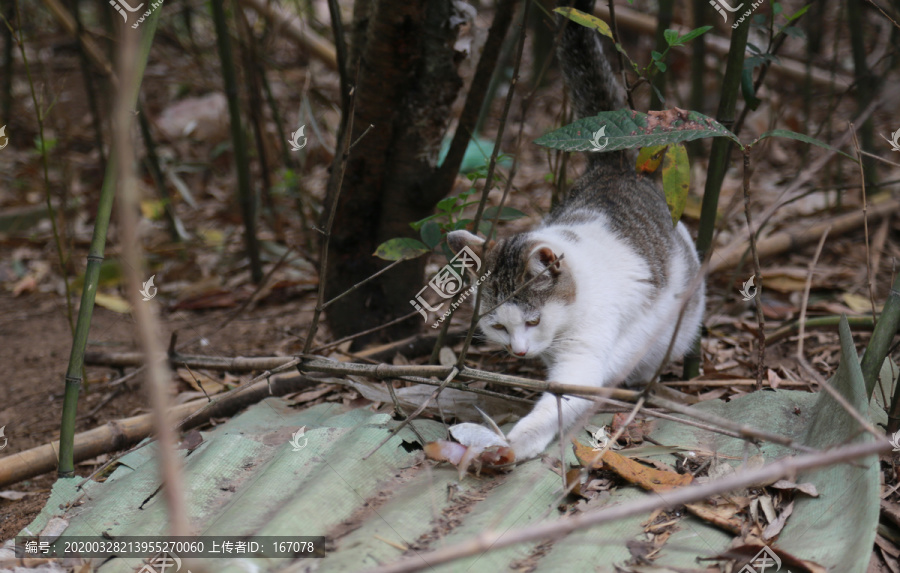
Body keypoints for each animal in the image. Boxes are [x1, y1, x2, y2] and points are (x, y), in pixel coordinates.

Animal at [446, 0, 708, 458]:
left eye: (532, 321)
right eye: (498, 326)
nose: (518, 350)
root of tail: (613, 165)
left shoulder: (585, 354)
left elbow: (564, 398)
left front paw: (520, 440)